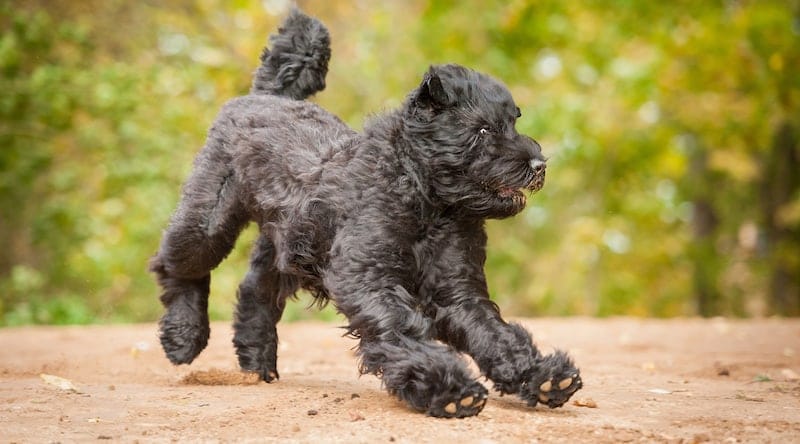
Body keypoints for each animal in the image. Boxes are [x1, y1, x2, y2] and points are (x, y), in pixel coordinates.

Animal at [153, 10, 580, 420]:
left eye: (514, 121)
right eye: (484, 130)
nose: (539, 164)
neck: (426, 199)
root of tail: (263, 96)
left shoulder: (456, 291)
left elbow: (494, 333)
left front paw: (541, 375)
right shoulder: (368, 279)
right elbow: (401, 330)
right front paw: (448, 389)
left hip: (287, 246)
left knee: (254, 290)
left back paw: (258, 362)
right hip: (208, 223)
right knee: (173, 267)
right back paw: (183, 337)